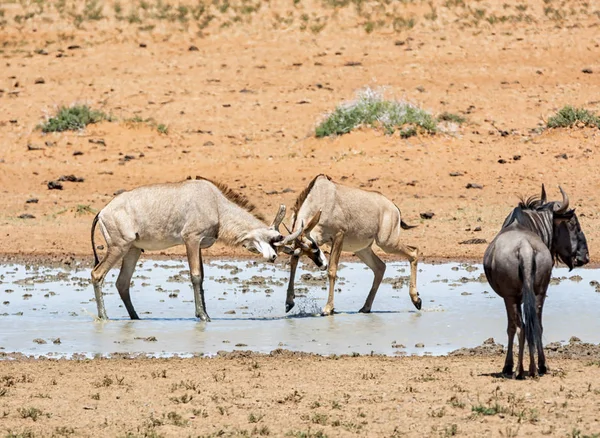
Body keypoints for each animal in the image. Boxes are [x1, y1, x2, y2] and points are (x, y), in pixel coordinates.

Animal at [91, 177, 302, 322]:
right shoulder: (191, 239)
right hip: (119, 247)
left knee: (122, 283)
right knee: (97, 274)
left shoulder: (199, 244)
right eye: (274, 238)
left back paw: (135, 317)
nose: (273, 256)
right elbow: (195, 276)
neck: (215, 204)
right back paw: (104, 317)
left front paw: (204, 313)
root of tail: (102, 212)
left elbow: (202, 277)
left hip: (133, 249)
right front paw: (203, 316)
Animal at [282, 174, 420, 314]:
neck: (320, 196)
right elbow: (293, 264)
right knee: (380, 267)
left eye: (314, 247)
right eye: (308, 251)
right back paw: (366, 307)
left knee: (413, 252)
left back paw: (416, 300)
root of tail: (393, 207)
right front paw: (289, 303)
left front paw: (328, 308)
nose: (322, 265)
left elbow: (332, 270)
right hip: (362, 250)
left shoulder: (339, 235)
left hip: (387, 243)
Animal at [486, 186, 588, 378]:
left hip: (511, 297)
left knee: (521, 327)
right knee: (536, 326)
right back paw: (538, 367)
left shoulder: (509, 298)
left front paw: (508, 366)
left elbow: (511, 328)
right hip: (539, 292)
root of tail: (525, 247)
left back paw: (519, 370)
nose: (585, 257)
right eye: (573, 225)